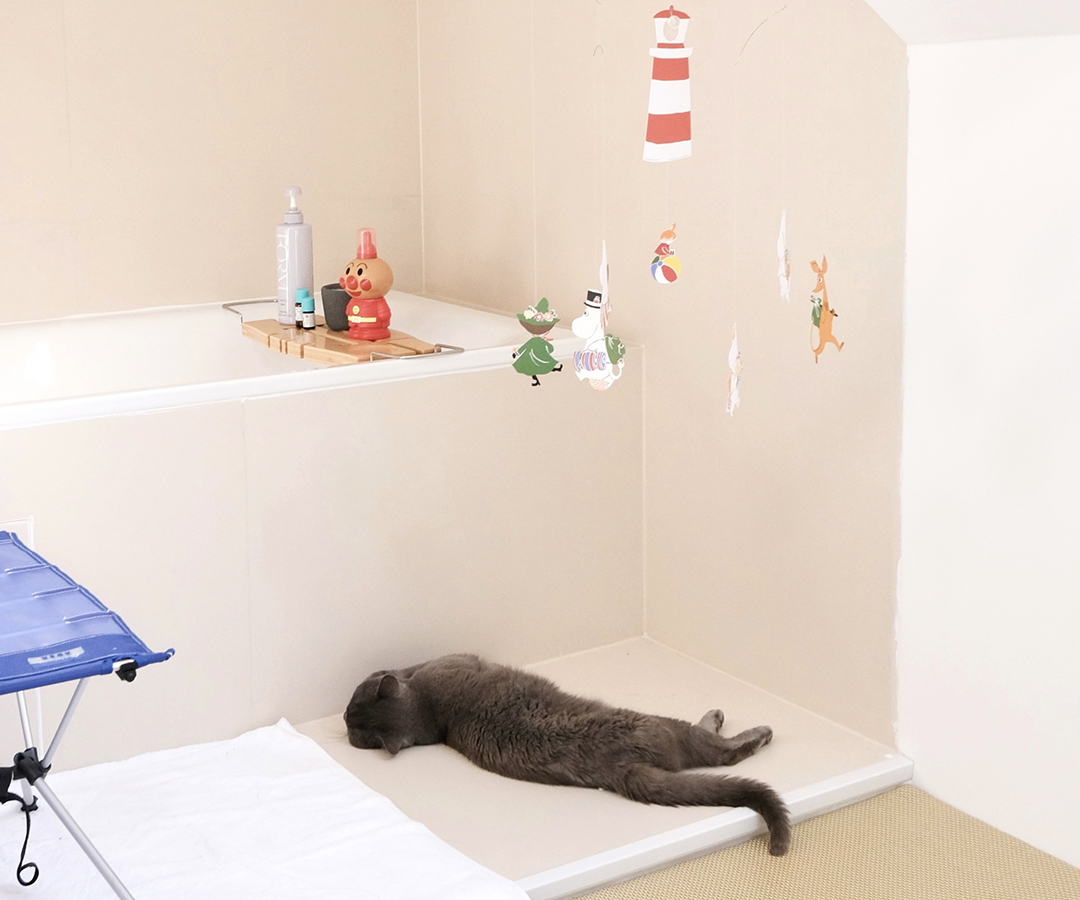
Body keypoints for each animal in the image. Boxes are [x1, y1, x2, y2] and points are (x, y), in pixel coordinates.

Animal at [344, 653, 791, 856]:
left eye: (350, 714)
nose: (345, 722)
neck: (433, 712)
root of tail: (622, 768)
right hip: (664, 725)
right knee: (717, 751)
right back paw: (749, 730)